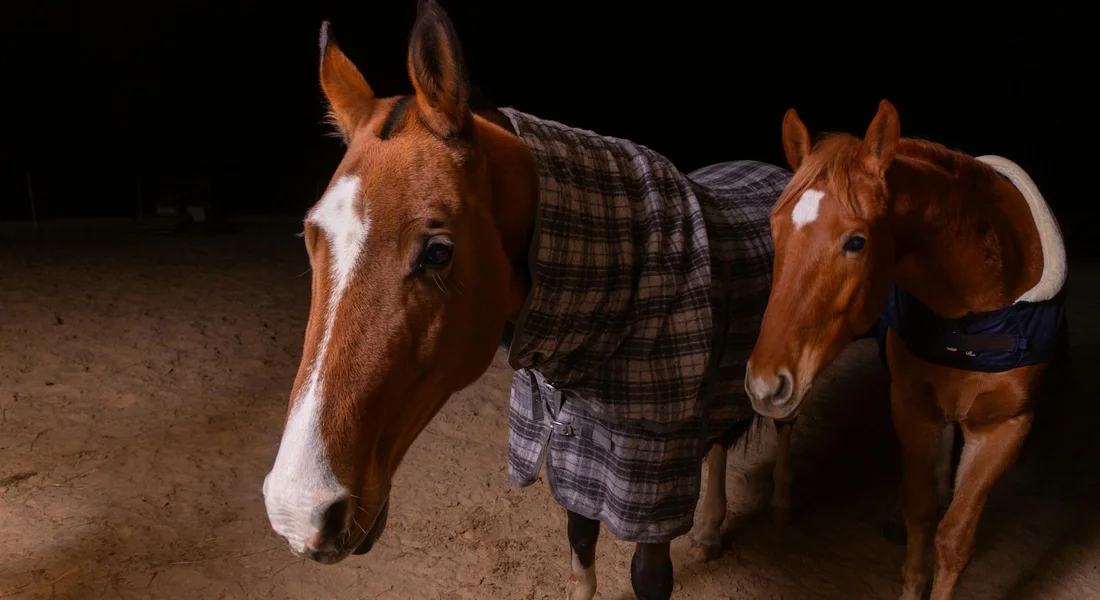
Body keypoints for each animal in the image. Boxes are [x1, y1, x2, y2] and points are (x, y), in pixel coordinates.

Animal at [260, 2, 798, 598]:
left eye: (439, 251)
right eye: (309, 235)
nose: (299, 511)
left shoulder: (649, 486)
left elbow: (646, 574)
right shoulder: (574, 458)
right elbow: (580, 552)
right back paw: (708, 531)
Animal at [745, 100, 1068, 600]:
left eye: (856, 242)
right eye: (774, 230)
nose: (763, 385)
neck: (974, 314)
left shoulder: (1005, 429)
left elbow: (954, 537)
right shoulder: (911, 406)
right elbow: (919, 512)